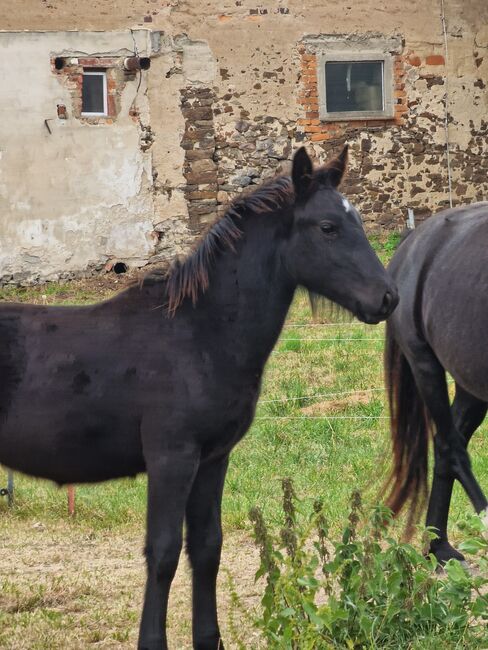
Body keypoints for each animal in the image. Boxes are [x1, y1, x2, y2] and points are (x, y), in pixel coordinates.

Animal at [0, 144, 396, 644]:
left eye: (358, 220)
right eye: (328, 227)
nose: (387, 298)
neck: (200, 333)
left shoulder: (212, 459)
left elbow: (207, 547)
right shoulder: (172, 458)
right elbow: (164, 552)